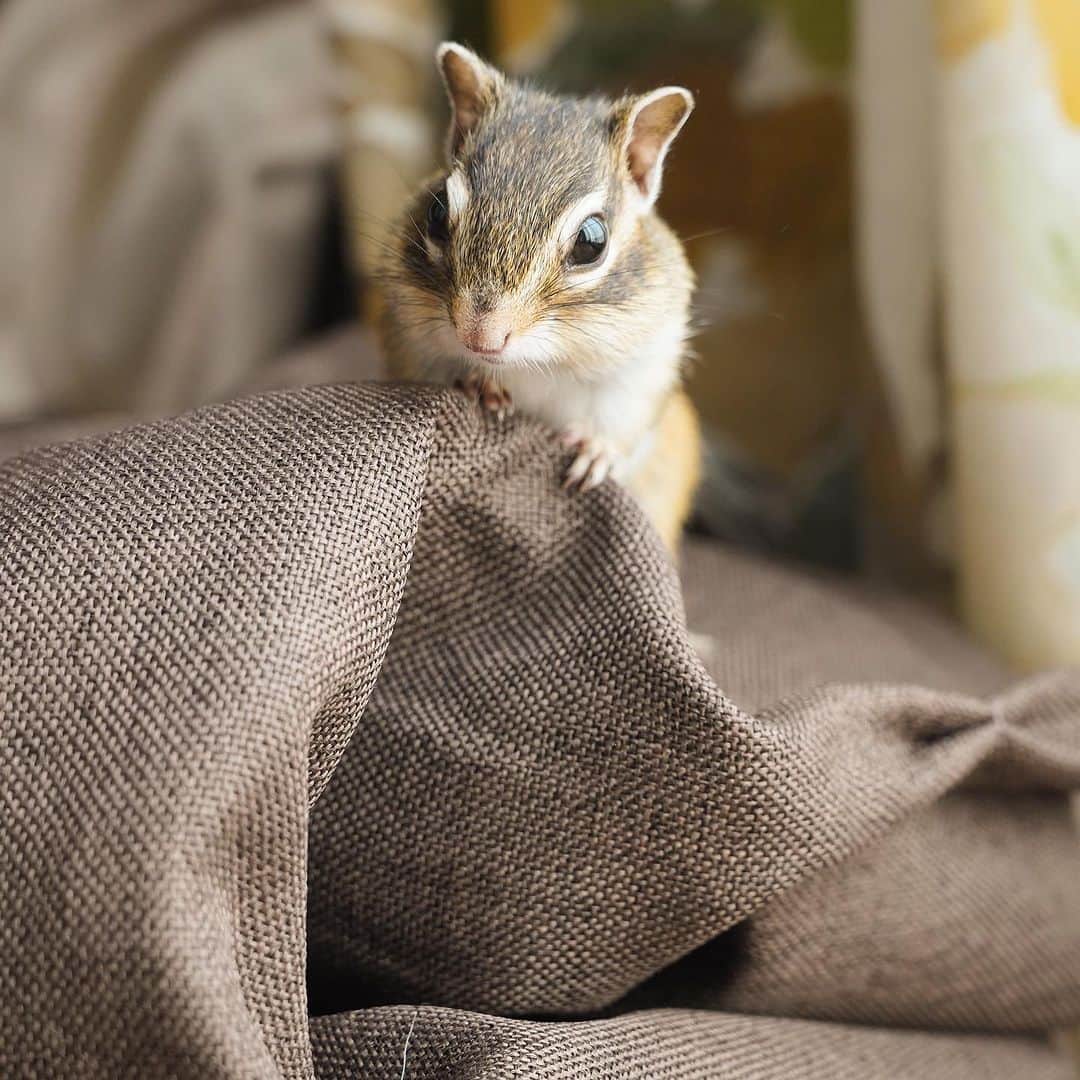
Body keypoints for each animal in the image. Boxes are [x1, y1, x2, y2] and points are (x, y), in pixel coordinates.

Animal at [381, 42, 702, 554]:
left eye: (592, 241)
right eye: (435, 212)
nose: (481, 337)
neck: (536, 365)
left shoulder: (645, 366)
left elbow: (622, 421)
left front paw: (596, 453)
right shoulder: (406, 334)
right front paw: (480, 383)